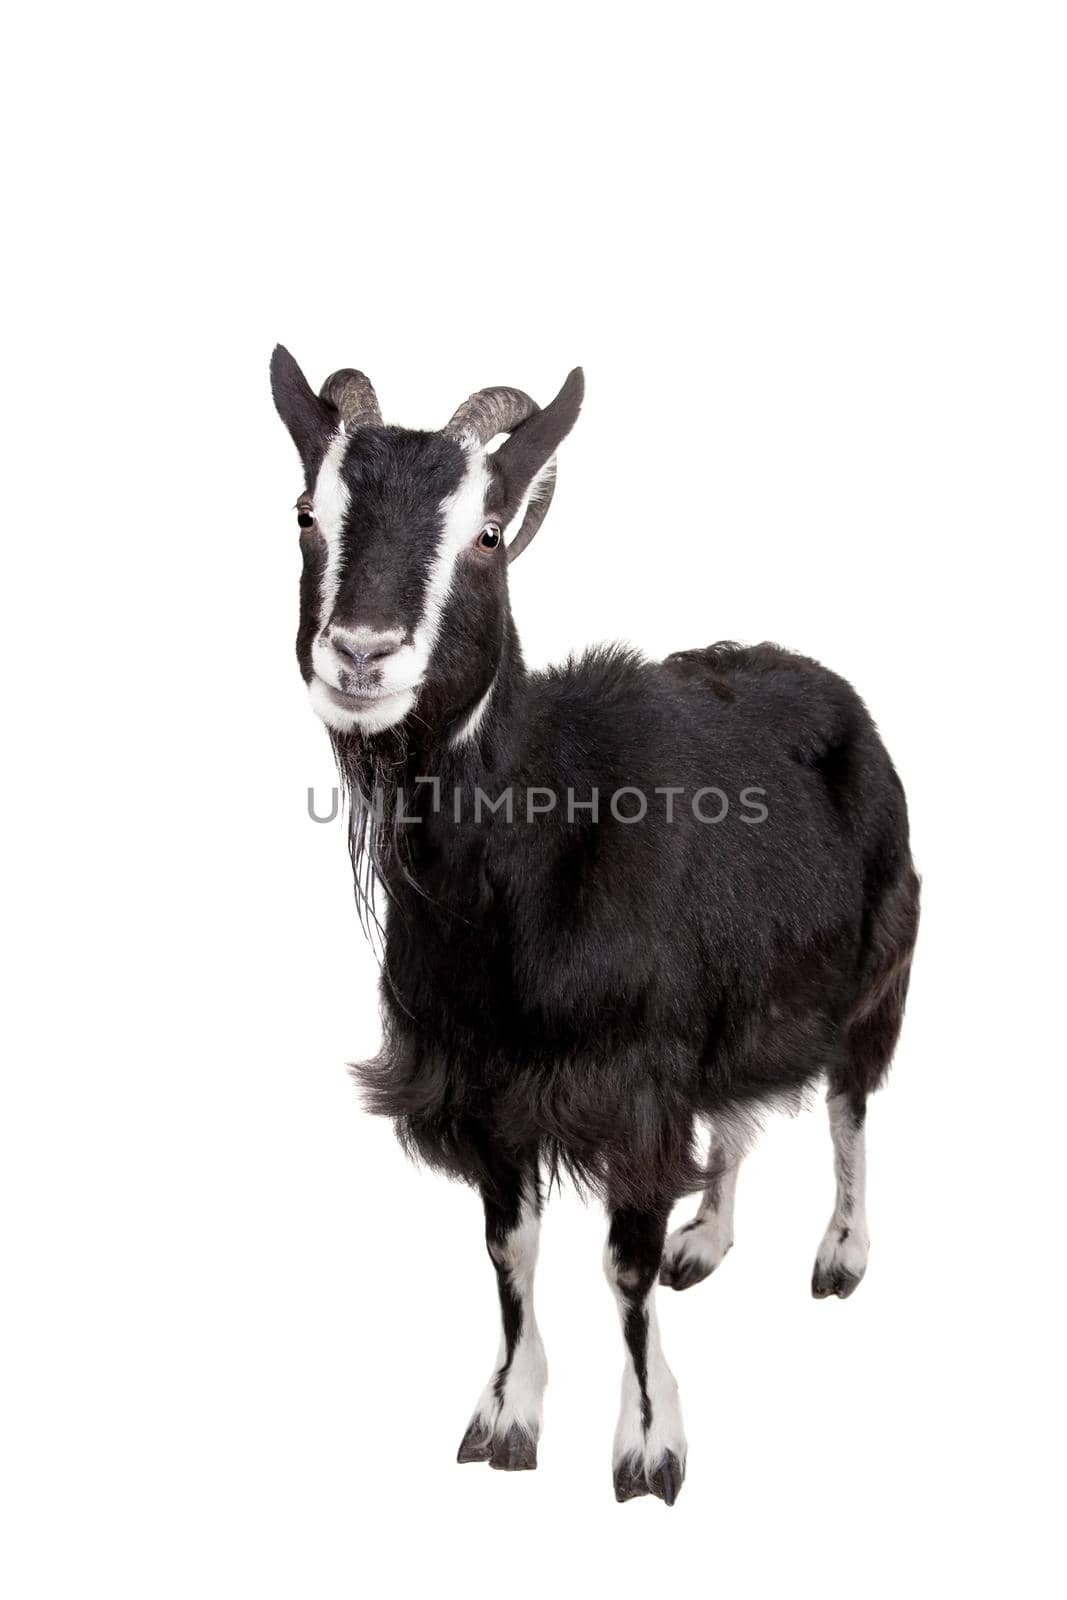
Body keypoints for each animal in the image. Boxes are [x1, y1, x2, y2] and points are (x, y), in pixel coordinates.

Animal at [267, 344, 921, 1504]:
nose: (359, 656)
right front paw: (503, 1419)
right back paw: (707, 1239)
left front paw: (649, 1448)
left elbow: (620, 1266)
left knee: (849, 1103)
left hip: (877, 960)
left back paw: (840, 1255)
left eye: (486, 532)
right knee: (737, 1113)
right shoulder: (483, 1082)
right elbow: (507, 1251)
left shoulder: (632, 1081)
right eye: (307, 512)